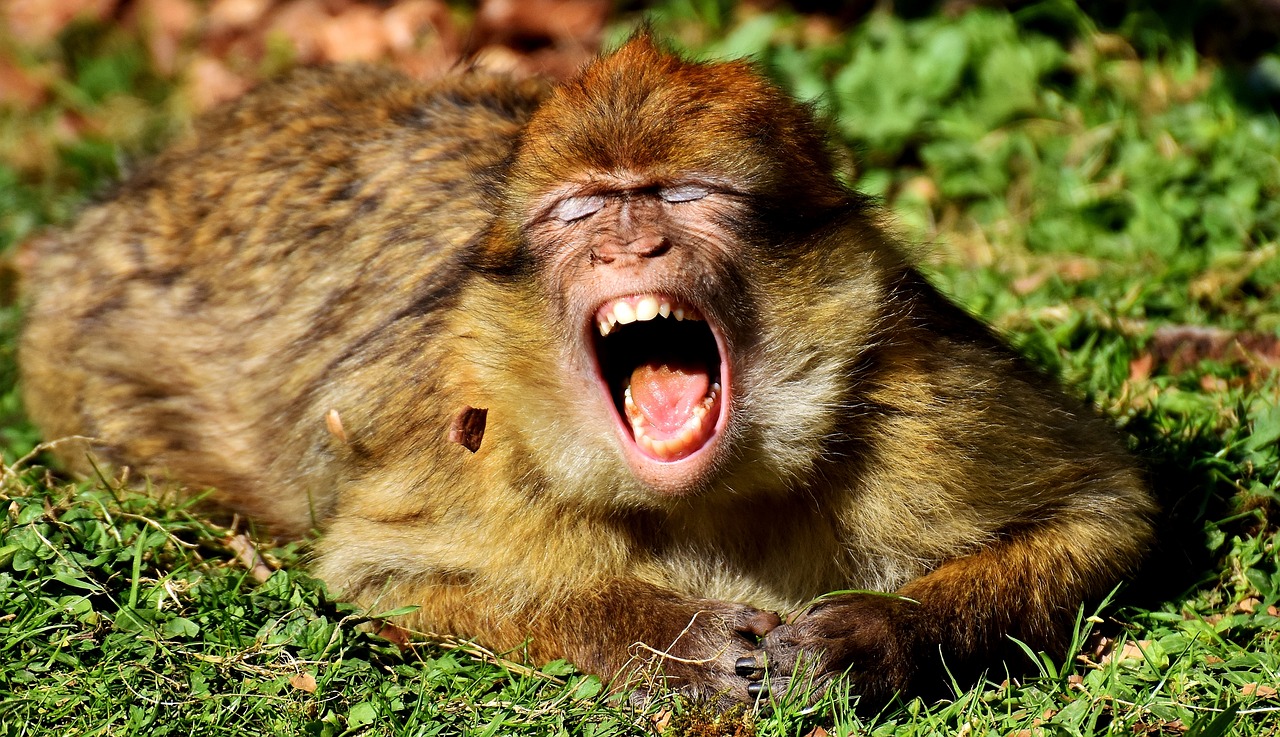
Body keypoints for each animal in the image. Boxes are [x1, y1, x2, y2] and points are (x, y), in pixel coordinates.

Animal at [17, 38, 1162, 706]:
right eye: (581, 210)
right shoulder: (477, 442)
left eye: (686, 195)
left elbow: (1101, 508)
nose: (628, 241)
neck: (713, 499)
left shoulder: (922, 403)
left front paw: (872, 637)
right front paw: (664, 641)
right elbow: (384, 570)